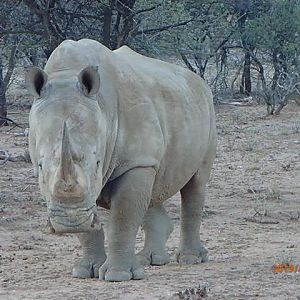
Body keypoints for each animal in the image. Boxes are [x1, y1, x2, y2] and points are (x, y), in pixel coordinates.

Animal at [26, 39, 216, 282]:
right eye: (40, 166)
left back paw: (190, 260)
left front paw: (118, 276)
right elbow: (91, 228)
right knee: (154, 186)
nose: (70, 223)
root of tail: (199, 82)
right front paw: (85, 271)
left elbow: (123, 217)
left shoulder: (134, 161)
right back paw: (151, 260)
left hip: (206, 110)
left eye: (98, 165)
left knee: (196, 183)